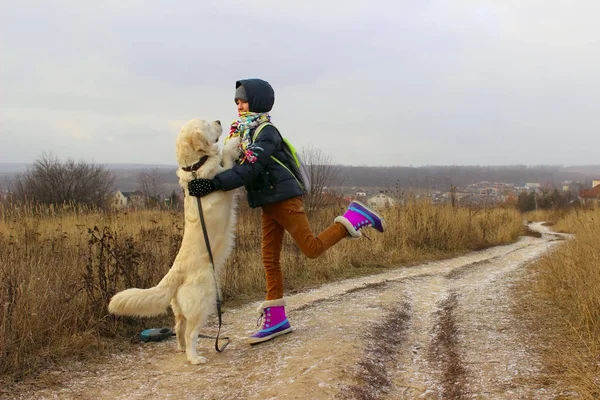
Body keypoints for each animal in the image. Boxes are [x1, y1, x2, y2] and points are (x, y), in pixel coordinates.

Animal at [109, 119, 240, 366]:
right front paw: (233, 143)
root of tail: (174, 273)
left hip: (180, 310)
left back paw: (181, 350)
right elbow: (226, 160)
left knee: (178, 328)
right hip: (204, 301)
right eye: (207, 124)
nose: (219, 121)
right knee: (190, 334)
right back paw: (195, 357)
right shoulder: (225, 177)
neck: (195, 169)